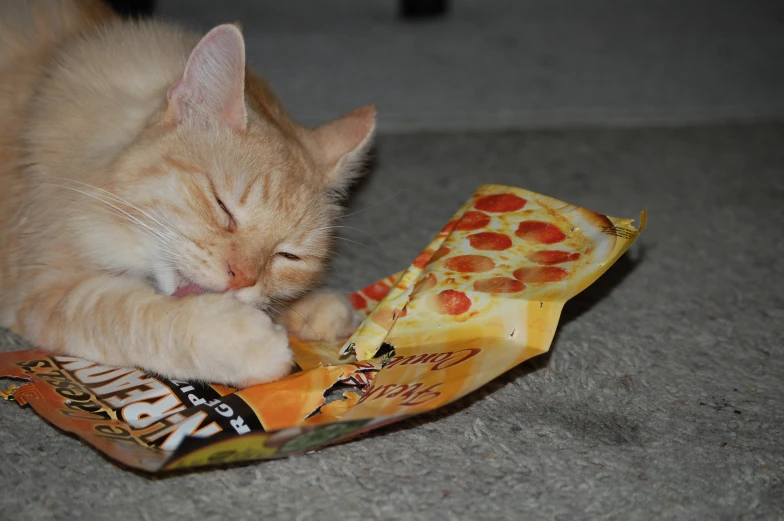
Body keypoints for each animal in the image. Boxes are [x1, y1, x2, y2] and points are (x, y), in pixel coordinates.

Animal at [0, 0, 376, 386]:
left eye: (288, 256)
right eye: (222, 206)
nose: (241, 279)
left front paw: (311, 308)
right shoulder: (43, 289)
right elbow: (138, 314)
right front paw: (243, 342)